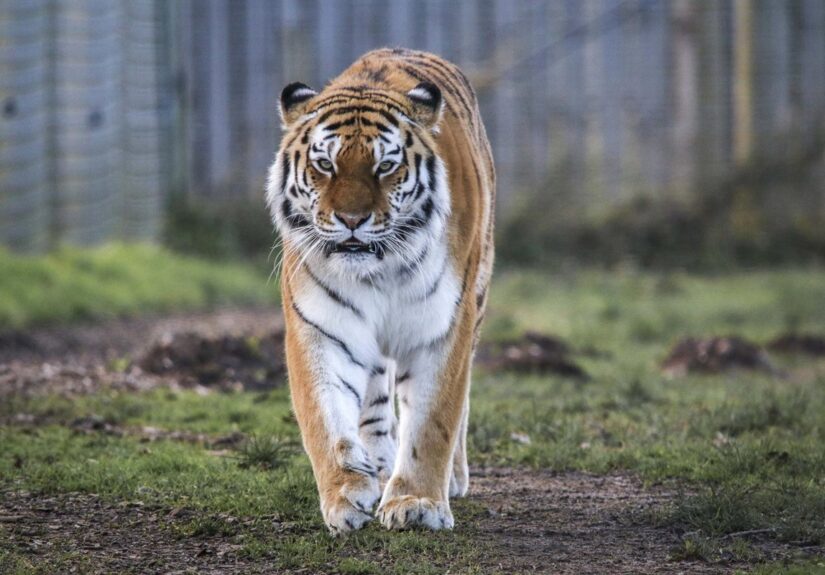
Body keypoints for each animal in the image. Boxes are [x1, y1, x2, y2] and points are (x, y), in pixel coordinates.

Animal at [266, 48, 494, 534]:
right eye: (325, 164)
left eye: (385, 166)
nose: (352, 220)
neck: (379, 270)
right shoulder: (321, 328)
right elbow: (326, 419)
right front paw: (345, 495)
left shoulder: (443, 326)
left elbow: (433, 421)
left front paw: (417, 503)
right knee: (373, 402)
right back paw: (379, 466)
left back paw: (452, 479)